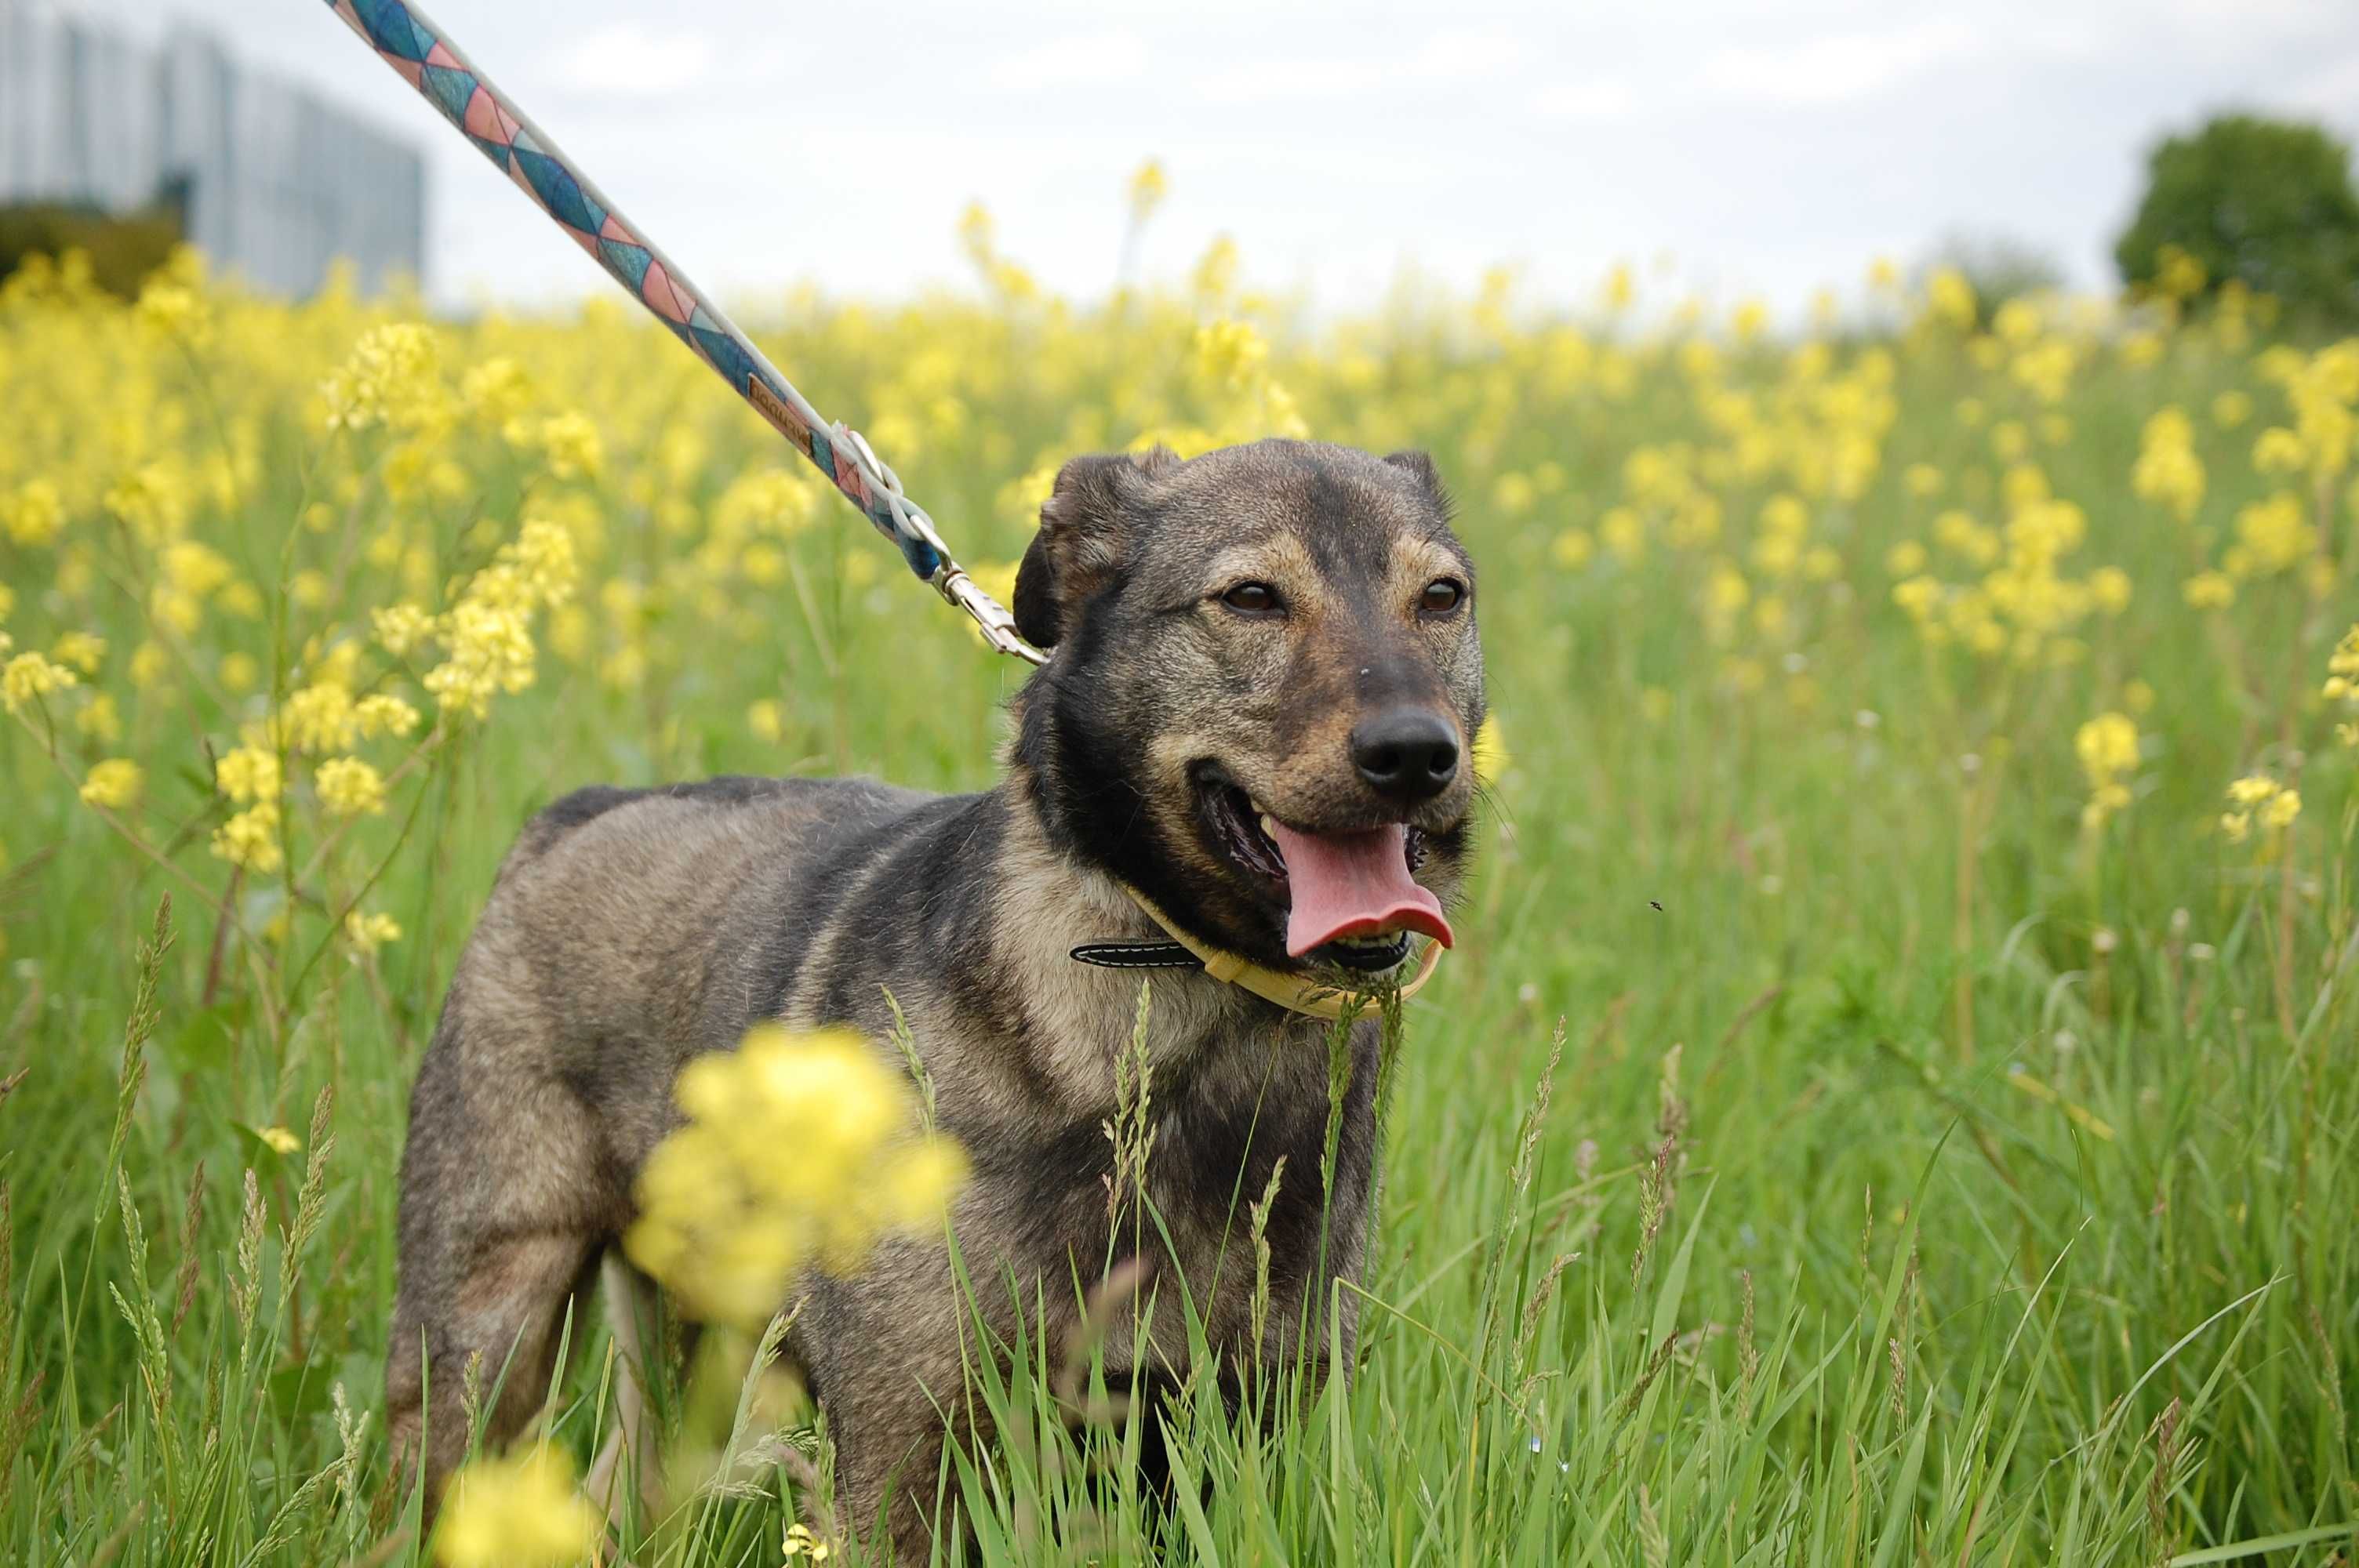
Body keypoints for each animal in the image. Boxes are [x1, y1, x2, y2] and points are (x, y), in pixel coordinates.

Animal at [389, 436, 1491, 1555]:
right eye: (1252, 597)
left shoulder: (1219, 1443)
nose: (1414, 752)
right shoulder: (902, 1456)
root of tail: (575, 814)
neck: (1163, 978)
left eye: (1441, 596)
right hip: (479, 1345)